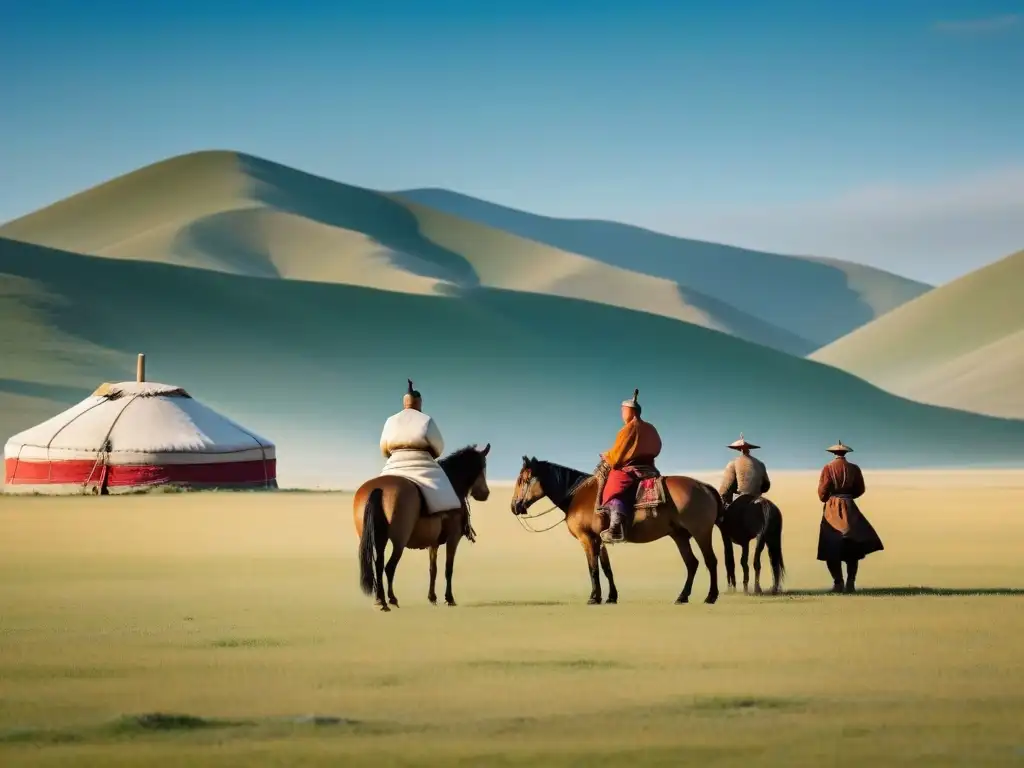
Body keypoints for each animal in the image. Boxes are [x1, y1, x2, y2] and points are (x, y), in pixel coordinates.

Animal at [354, 444, 489, 614]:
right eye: (483, 467)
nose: (485, 493)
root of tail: (378, 488)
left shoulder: (433, 543)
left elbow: (433, 569)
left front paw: (432, 597)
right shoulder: (453, 538)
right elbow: (448, 568)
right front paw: (449, 598)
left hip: (377, 539)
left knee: (378, 565)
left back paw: (380, 600)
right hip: (399, 541)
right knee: (389, 567)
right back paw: (391, 600)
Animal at [509, 456, 720, 606]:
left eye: (522, 480)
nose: (514, 506)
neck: (576, 496)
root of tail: (704, 486)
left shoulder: (587, 539)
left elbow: (593, 568)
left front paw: (594, 598)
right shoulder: (600, 540)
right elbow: (606, 568)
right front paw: (611, 597)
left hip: (701, 532)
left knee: (710, 561)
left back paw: (710, 597)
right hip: (680, 535)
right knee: (692, 563)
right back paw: (682, 597)